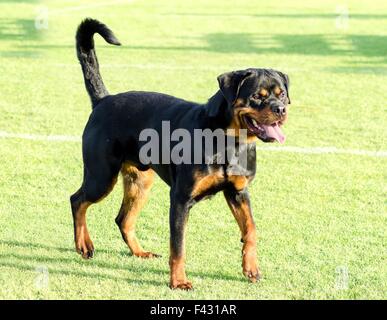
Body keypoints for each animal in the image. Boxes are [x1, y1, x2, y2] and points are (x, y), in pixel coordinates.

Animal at [70, 19, 292, 290]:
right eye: (256, 97)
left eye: (282, 94)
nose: (280, 109)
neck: (228, 141)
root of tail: (104, 100)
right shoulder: (180, 199)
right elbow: (178, 246)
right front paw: (178, 281)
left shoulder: (238, 192)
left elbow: (251, 229)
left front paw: (251, 269)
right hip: (101, 177)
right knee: (77, 200)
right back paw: (84, 245)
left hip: (139, 182)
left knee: (123, 219)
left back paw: (139, 252)